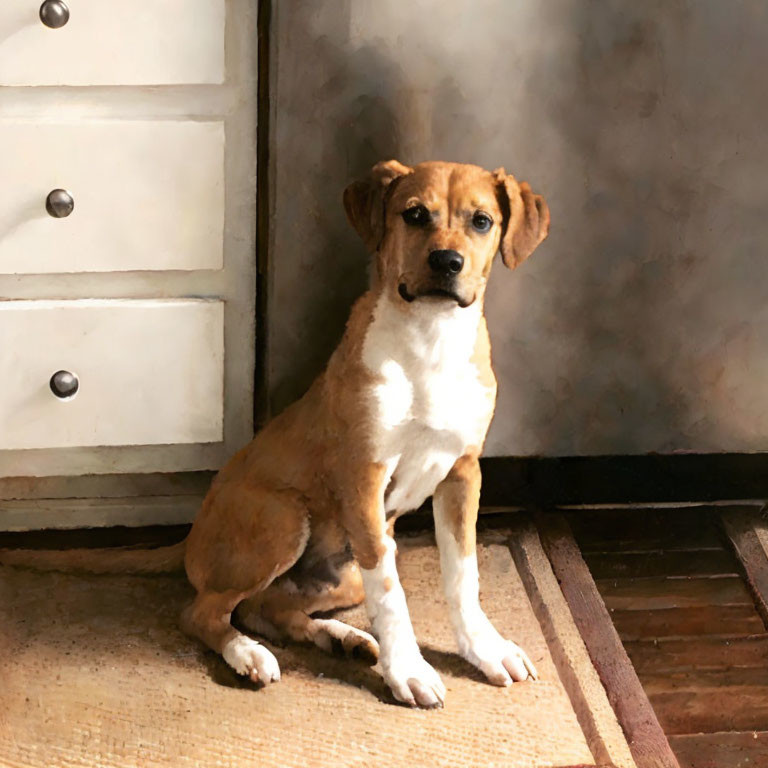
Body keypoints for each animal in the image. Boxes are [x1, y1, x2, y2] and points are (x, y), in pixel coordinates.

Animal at [3, 159, 548, 712]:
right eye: (414, 214)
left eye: (482, 221)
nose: (447, 262)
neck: (430, 341)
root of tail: (191, 538)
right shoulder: (365, 477)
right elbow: (392, 595)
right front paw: (409, 670)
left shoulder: (463, 473)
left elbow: (463, 575)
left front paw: (484, 649)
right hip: (284, 518)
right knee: (204, 612)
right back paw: (248, 653)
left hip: (343, 572)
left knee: (264, 606)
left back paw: (340, 638)